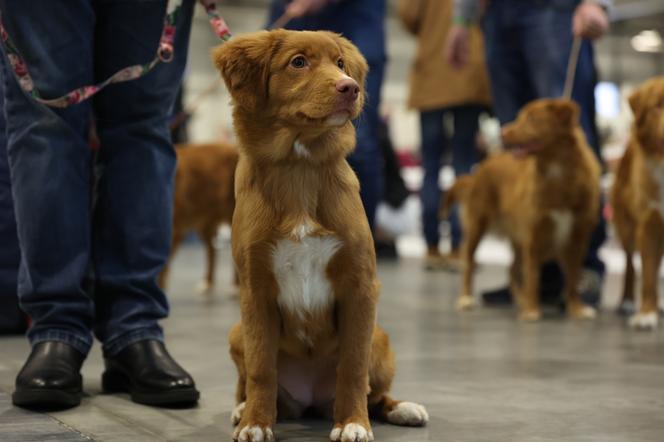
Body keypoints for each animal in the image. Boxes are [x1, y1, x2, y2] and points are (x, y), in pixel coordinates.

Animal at [214, 31, 430, 442]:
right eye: (298, 62)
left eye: (341, 63)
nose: (351, 88)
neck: (299, 166)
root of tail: (310, 398)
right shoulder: (254, 289)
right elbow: (261, 368)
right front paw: (255, 423)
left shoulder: (360, 285)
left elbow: (353, 367)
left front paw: (353, 424)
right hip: (235, 332)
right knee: (248, 382)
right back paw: (242, 409)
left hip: (381, 337)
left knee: (376, 393)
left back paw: (402, 408)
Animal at [444, 99, 604, 322]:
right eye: (520, 116)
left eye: (532, 118)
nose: (502, 131)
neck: (557, 172)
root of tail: (482, 166)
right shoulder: (533, 235)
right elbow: (533, 277)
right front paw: (531, 310)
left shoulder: (577, 237)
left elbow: (572, 279)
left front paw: (576, 309)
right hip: (478, 225)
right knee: (469, 263)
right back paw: (467, 298)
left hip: (517, 240)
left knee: (512, 270)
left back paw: (519, 300)